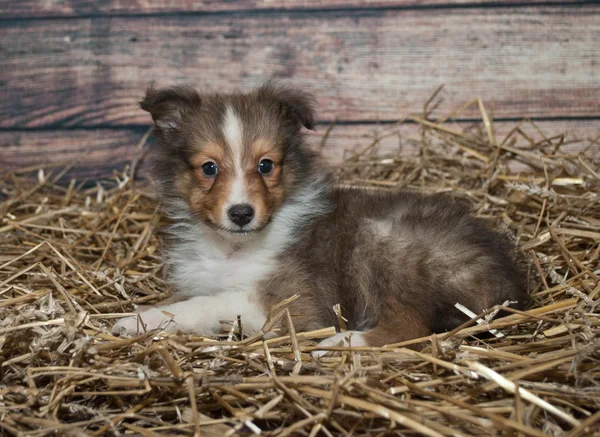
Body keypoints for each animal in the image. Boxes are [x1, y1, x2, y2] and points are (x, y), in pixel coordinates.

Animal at [110, 82, 528, 350]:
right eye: (209, 168)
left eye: (266, 165)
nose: (242, 213)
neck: (235, 247)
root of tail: (507, 281)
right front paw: (143, 318)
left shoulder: (293, 305)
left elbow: (205, 304)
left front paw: (132, 320)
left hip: (383, 242)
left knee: (412, 328)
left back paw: (344, 342)